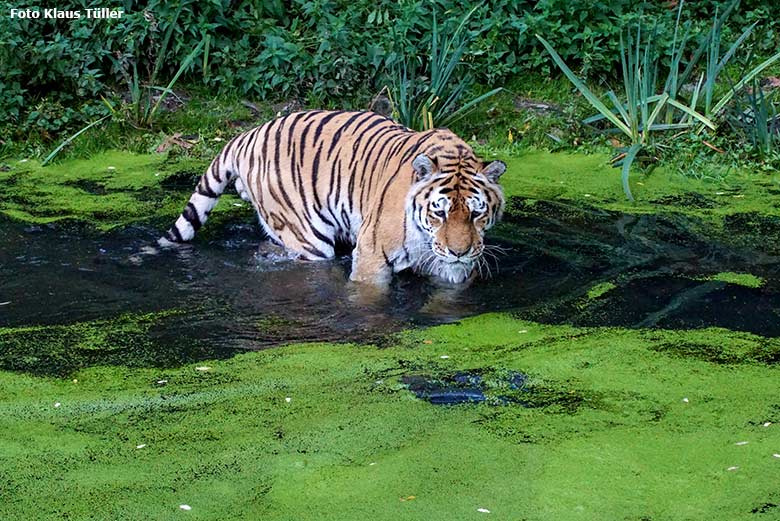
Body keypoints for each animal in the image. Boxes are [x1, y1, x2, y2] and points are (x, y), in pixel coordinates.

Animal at [161, 110, 508, 286]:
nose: (459, 251)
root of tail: (248, 133)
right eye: (440, 213)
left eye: (476, 213)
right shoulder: (372, 255)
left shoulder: (454, 267)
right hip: (308, 237)